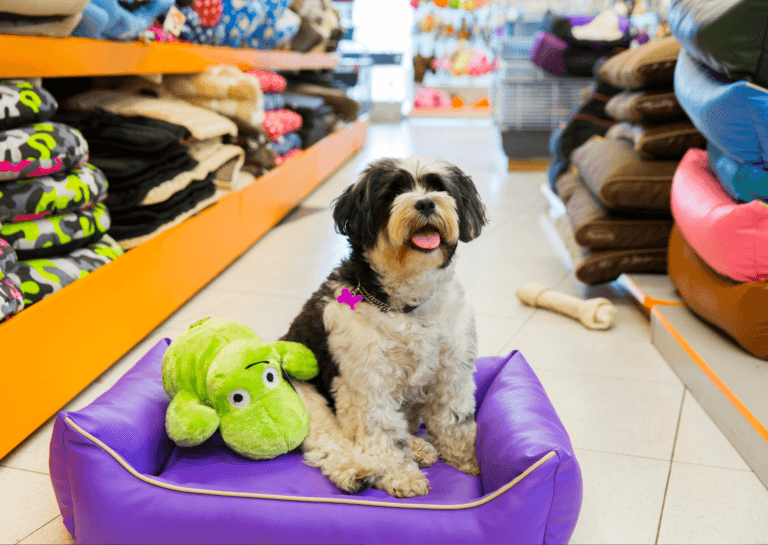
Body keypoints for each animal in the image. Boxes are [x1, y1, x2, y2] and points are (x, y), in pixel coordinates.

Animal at [280, 155, 486, 496]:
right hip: (301, 395)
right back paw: (356, 471)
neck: (406, 307)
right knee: (328, 440)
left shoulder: (452, 371)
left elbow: (455, 420)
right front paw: (400, 475)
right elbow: (383, 433)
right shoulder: (367, 382)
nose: (426, 203)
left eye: (439, 187)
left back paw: (418, 447)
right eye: (392, 193)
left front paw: (469, 461)